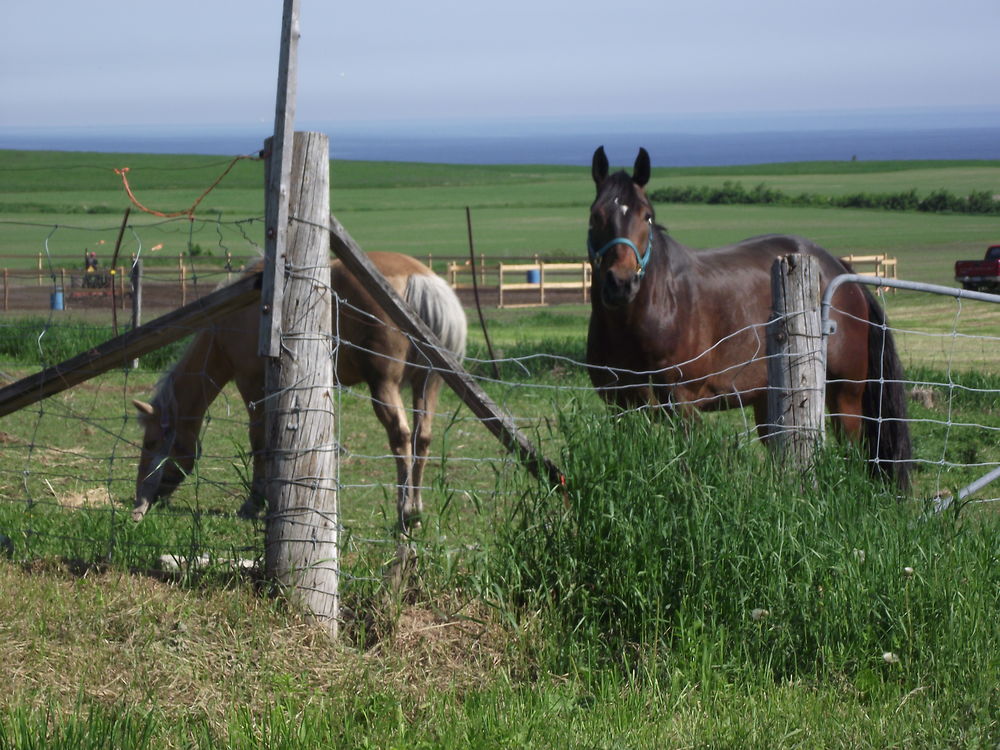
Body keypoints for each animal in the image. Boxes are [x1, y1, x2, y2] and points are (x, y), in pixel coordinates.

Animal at [132, 254, 468, 536]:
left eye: (151, 443)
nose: (141, 501)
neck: (231, 318)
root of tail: (421, 279)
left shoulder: (252, 385)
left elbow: (260, 443)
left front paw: (254, 503)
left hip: (384, 386)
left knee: (401, 437)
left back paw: (405, 513)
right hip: (427, 385)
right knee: (422, 438)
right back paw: (416, 513)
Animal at [588, 147, 912, 490]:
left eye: (647, 215)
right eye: (596, 215)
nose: (621, 283)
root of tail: (839, 269)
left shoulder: (683, 405)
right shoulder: (621, 406)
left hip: (845, 394)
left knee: (854, 450)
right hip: (770, 399)